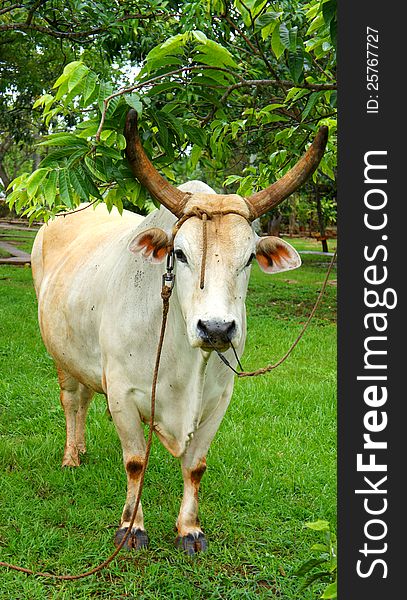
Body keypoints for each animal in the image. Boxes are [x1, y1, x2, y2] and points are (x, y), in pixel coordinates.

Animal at [31, 111, 328, 552]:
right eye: (180, 253)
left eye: (249, 259)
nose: (217, 327)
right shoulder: (122, 392)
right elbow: (135, 461)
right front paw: (132, 526)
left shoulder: (219, 398)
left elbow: (195, 466)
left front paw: (190, 528)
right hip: (59, 353)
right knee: (71, 401)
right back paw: (71, 456)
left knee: (83, 398)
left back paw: (81, 450)